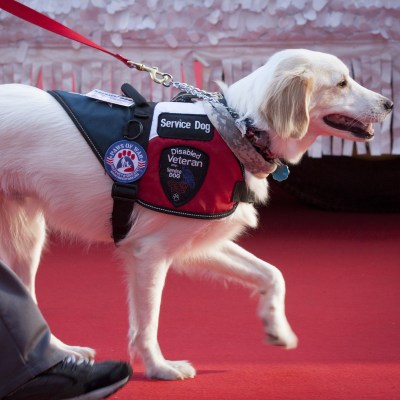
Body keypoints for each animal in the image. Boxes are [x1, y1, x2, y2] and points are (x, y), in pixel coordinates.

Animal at [0, 48, 394, 380]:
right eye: (342, 83)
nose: (390, 103)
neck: (238, 130)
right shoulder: (149, 253)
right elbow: (147, 323)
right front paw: (159, 367)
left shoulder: (198, 242)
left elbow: (272, 274)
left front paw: (277, 327)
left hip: (26, 238)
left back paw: (62, 353)